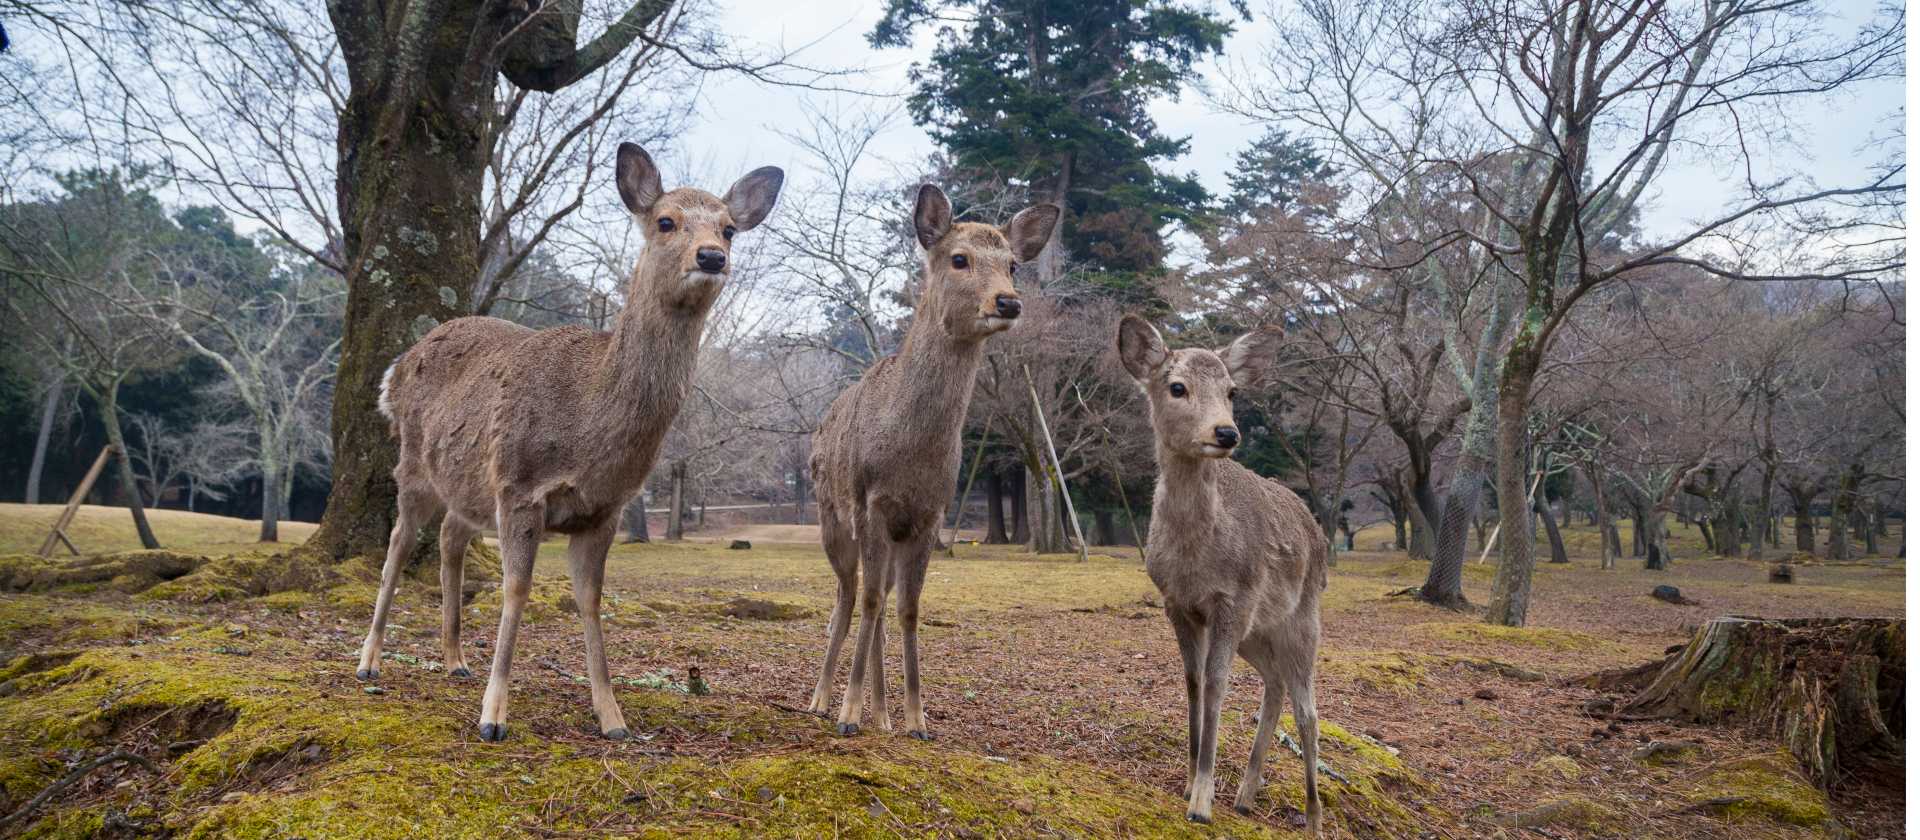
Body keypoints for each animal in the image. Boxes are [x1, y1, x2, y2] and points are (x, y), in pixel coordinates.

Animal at [353, 143, 783, 742]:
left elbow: (591, 600)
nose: (712, 257)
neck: (589, 423)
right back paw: (368, 660)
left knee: (449, 537)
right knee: (398, 541)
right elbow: (516, 590)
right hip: (414, 462)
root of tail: (395, 369)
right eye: (665, 221)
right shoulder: (520, 485)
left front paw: (612, 717)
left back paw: (456, 661)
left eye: (729, 229)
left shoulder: (604, 507)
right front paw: (493, 717)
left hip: (468, 484)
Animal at [806, 184, 1058, 739]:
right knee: (847, 600)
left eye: (1013, 264)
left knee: (876, 603)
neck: (911, 456)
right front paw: (848, 714)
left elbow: (909, 609)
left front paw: (916, 719)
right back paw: (820, 702)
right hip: (831, 519)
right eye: (959, 258)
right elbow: (871, 603)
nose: (1008, 301)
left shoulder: (929, 516)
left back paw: (881, 716)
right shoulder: (871, 503)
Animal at [1115, 314, 1327, 831]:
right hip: (1260, 630)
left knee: (1309, 710)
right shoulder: (1177, 603)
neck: (1197, 558)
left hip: (1303, 618)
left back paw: (1313, 818)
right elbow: (1193, 682)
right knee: (1275, 685)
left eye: (1232, 390)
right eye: (1177, 386)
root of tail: (1318, 532)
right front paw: (1190, 782)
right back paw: (1246, 797)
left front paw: (1202, 802)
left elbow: (1216, 685)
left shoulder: (1232, 599)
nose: (1226, 433)